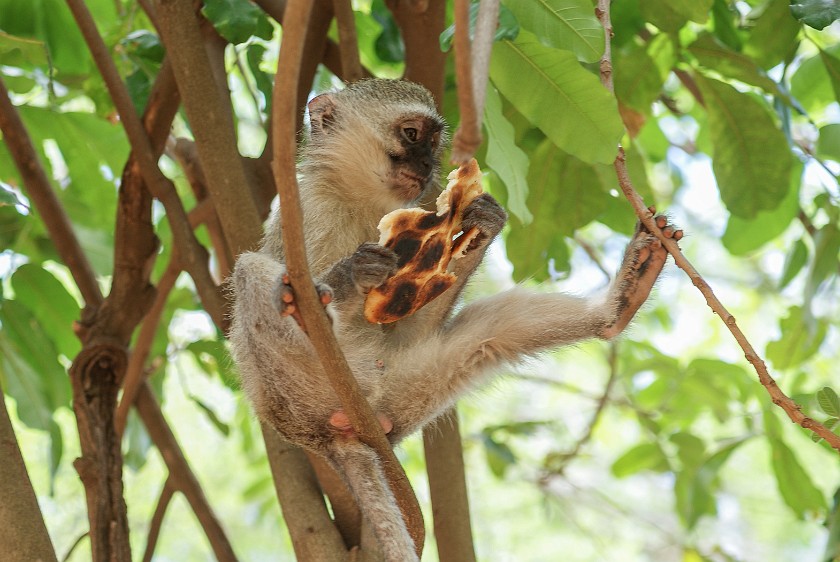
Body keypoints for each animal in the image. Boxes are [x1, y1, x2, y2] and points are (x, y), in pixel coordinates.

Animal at [228, 79, 684, 560]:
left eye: (432, 142)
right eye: (411, 134)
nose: (429, 165)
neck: (357, 199)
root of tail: (319, 433)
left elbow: (414, 318)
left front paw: (482, 222)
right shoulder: (306, 210)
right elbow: (307, 281)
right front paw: (348, 275)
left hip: (410, 386)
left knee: (495, 330)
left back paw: (619, 305)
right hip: (294, 383)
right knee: (252, 272)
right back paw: (301, 302)